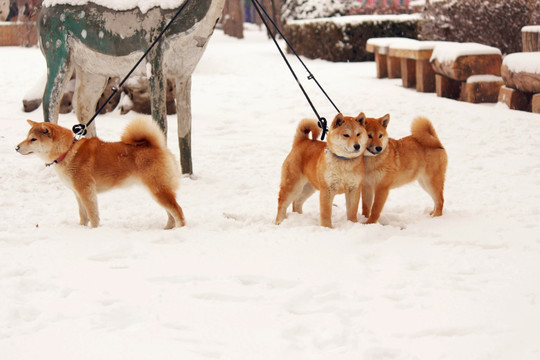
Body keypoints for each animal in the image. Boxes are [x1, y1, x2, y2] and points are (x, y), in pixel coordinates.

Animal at [16, 119, 186, 229]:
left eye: (33, 139)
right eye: (27, 137)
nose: (16, 147)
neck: (67, 151)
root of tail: (156, 146)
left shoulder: (86, 190)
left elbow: (92, 215)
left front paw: (94, 230)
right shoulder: (77, 193)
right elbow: (83, 215)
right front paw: (82, 228)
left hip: (158, 190)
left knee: (178, 211)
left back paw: (180, 229)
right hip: (157, 191)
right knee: (171, 213)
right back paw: (167, 229)